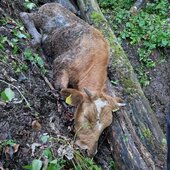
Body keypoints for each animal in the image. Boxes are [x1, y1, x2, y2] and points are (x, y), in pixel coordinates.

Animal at [19, 2, 125, 157]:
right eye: (86, 117)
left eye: (106, 126)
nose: (88, 150)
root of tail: (50, 4)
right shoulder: (61, 63)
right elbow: (61, 88)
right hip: (42, 18)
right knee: (25, 15)